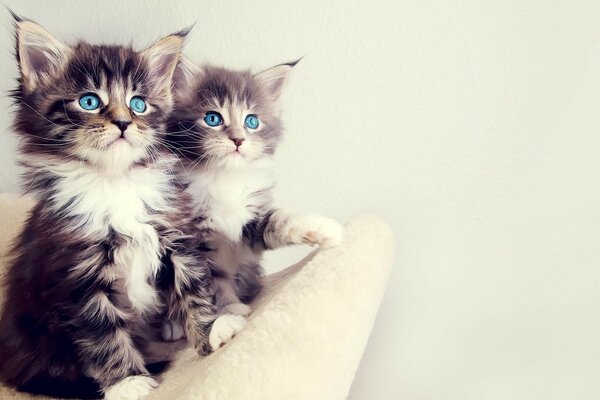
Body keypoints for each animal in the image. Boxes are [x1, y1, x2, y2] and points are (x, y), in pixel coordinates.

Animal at [164, 58, 344, 334]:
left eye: (251, 121)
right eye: (212, 118)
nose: (238, 139)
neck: (224, 177)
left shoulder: (250, 218)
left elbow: (280, 220)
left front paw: (321, 227)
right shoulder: (194, 238)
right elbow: (210, 284)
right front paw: (228, 312)